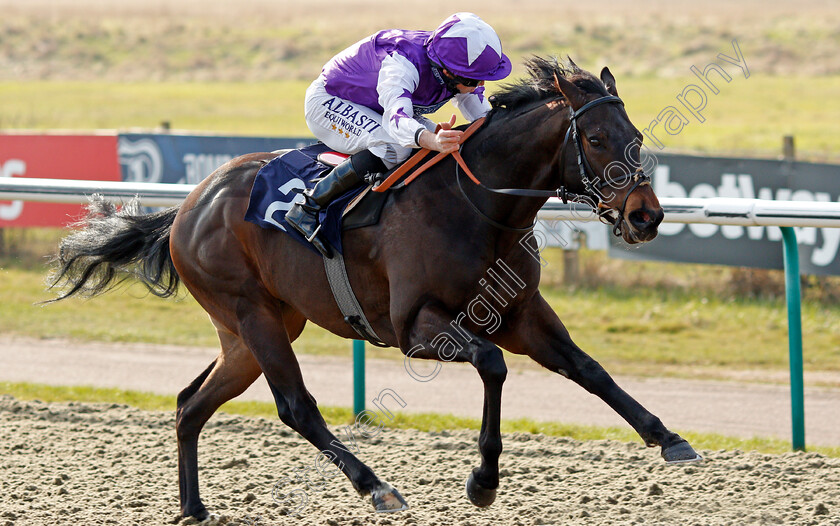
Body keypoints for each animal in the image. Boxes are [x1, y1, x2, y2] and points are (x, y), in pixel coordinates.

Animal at [49, 58, 700, 524]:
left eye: (635, 135)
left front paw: (668, 437)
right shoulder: (416, 327)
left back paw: (193, 507)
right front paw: (483, 482)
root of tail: (187, 205)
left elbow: (588, 369)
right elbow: (492, 365)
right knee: (296, 406)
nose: (646, 216)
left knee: (191, 404)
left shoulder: (522, 313)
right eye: (595, 138)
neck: (476, 206)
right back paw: (377, 487)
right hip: (251, 312)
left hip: (254, 331)